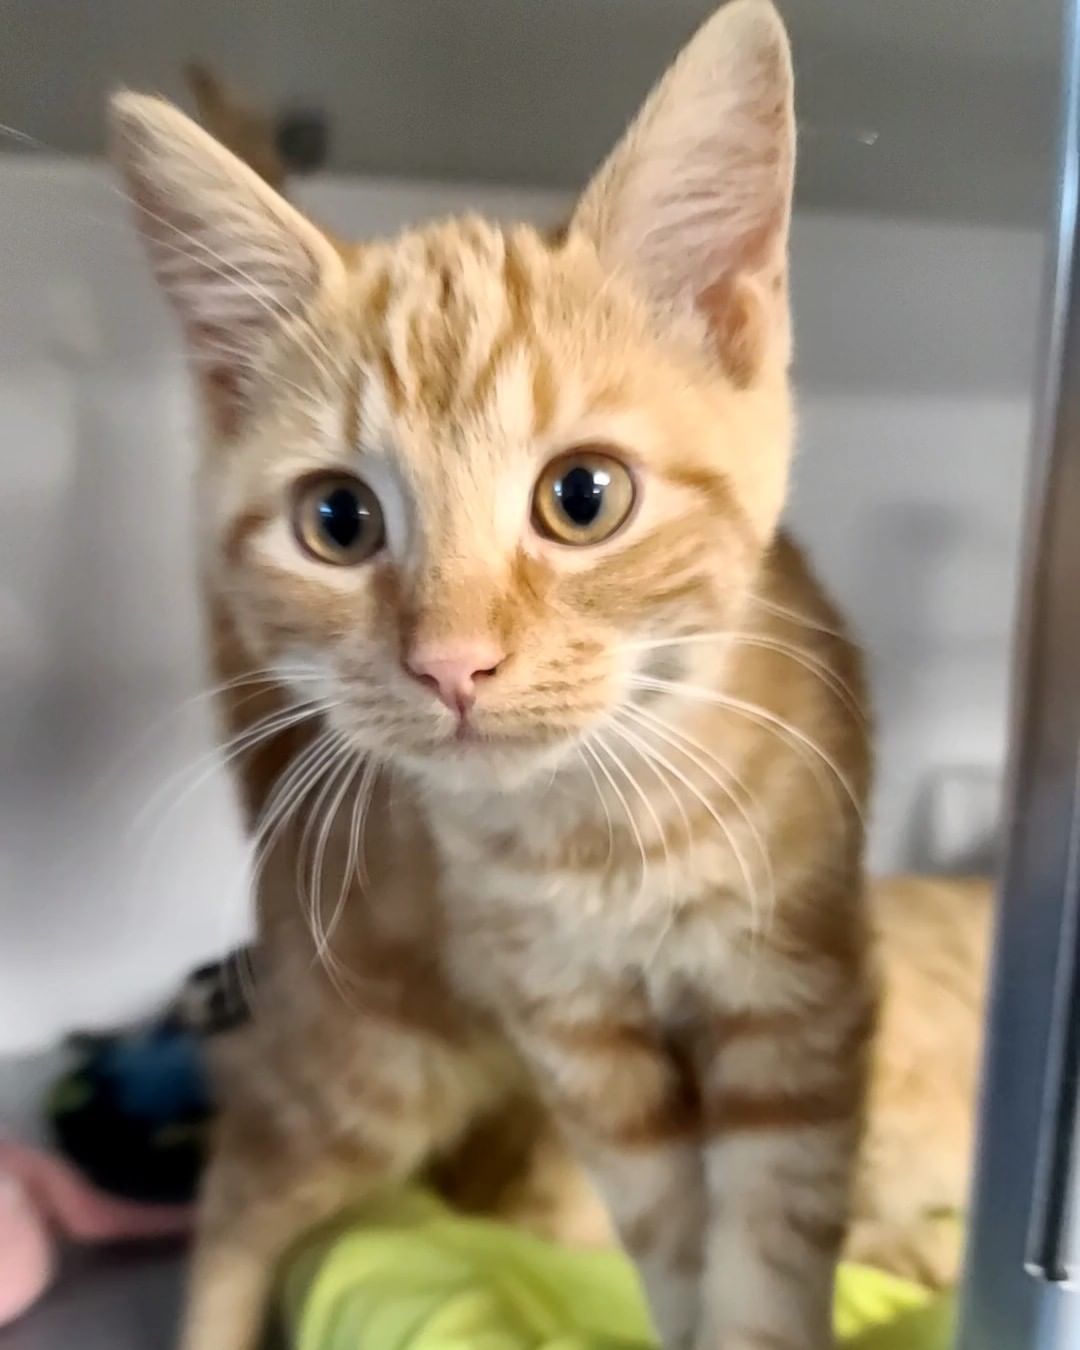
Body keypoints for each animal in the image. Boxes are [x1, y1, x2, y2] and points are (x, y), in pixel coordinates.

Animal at [109, 5, 874, 1344]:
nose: (450, 663)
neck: (606, 828)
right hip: (375, 1054)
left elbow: (763, 1248)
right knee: (246, 1151)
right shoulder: (578, 1041)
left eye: (584, 496)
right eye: (339, 520)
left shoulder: (797, 1002)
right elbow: (669, 1235)